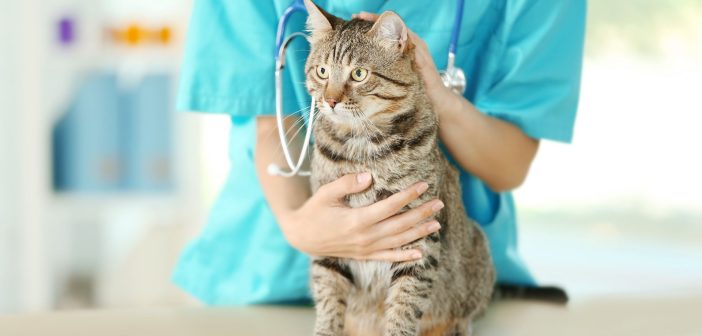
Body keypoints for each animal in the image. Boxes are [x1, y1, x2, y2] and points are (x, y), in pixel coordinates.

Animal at [306, 1, 498, 334]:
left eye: (358, 74)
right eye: (322, 71)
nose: (330, 101)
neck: (363, 149)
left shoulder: (418, 235)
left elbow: (405, 304)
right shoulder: (330, 226)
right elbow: (328, 294)